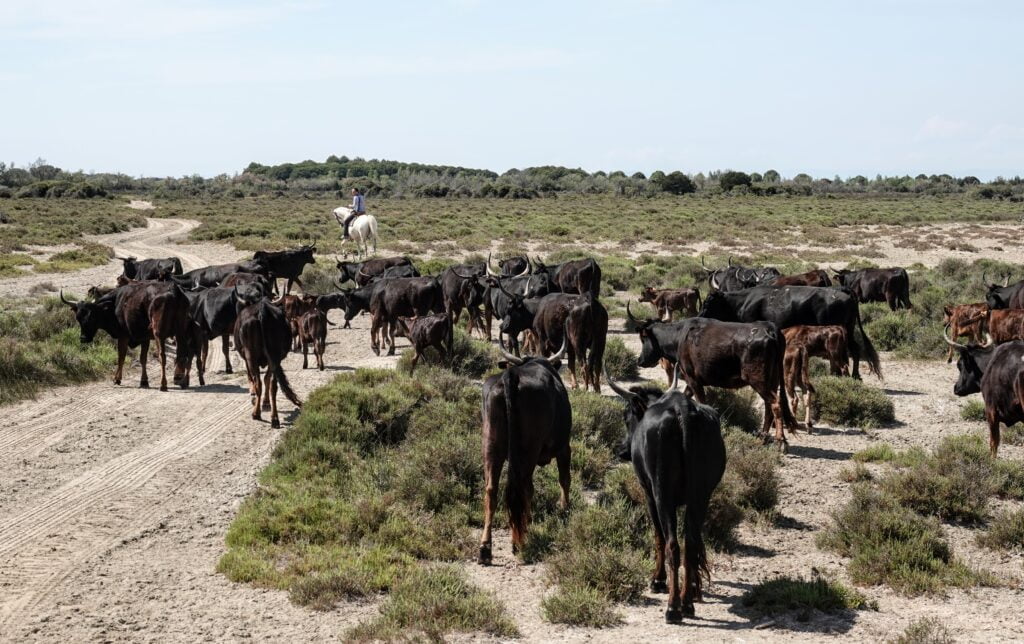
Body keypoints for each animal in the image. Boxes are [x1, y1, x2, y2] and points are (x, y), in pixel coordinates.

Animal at [477, 335, 573, 561]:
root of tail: (511, 376)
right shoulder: (564, 447)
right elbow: (564, 479)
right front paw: (564, 508)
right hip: (527, 452)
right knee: (523, 488)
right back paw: (518, 541)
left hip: (491, 447)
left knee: (491, 490)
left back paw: (485, 547)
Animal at [602, 372, 724, 622]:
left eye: (627, 417)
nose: (622, 450)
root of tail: (683, 409)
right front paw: (695, 587)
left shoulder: (648, 493)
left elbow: (658, 536)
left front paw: (657, 580)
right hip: (700, 496)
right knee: (690, 545)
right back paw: (687, 602)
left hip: (662, 495)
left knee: (672, 546)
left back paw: (673, 607)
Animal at [700, 284, 884, 378]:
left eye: (707, 302)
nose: (699, 315)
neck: (743, 302)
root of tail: (844, 292)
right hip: (849, 330)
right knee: (854, 349)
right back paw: (853, 375)